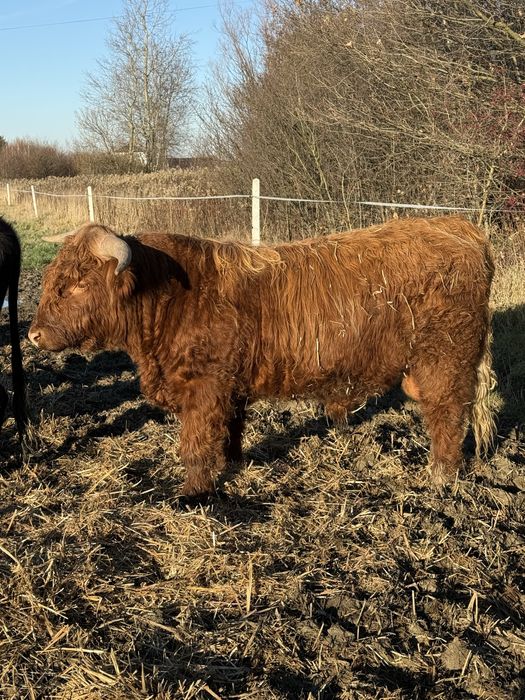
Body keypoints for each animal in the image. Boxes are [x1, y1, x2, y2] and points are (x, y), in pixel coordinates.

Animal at [28, 216, 495, 497]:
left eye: (76, 285)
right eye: (53, 279)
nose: (33, 334)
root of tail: (459, 226)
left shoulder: (204, 388)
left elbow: (195, 444)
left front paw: (192, 495)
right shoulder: (230, 386)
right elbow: (231, 429)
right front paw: (233, 463)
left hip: (444, 362)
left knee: (447, 416)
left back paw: (440, 478)